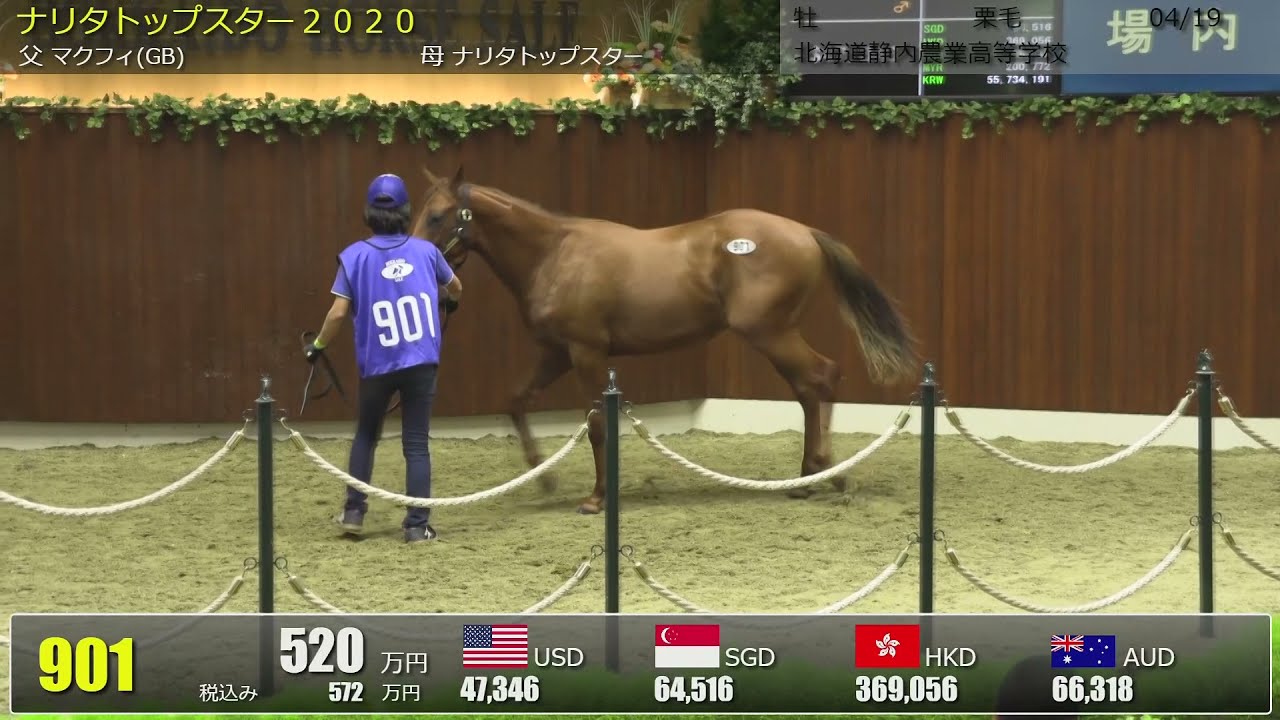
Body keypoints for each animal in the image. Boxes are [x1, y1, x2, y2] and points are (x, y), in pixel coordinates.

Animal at [410, 166, 919, 514]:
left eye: (436, 217)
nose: (423, 266)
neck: (554, 254)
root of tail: (805, 233)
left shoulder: (586, 353)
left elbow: (598, 425)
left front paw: (596, 498)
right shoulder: (556, 353)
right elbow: (516, 400)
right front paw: (545, 478)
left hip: (769, 332)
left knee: (820, 378)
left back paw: (829, 474)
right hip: (775, 335)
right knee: (809, 388)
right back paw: (809, 478)